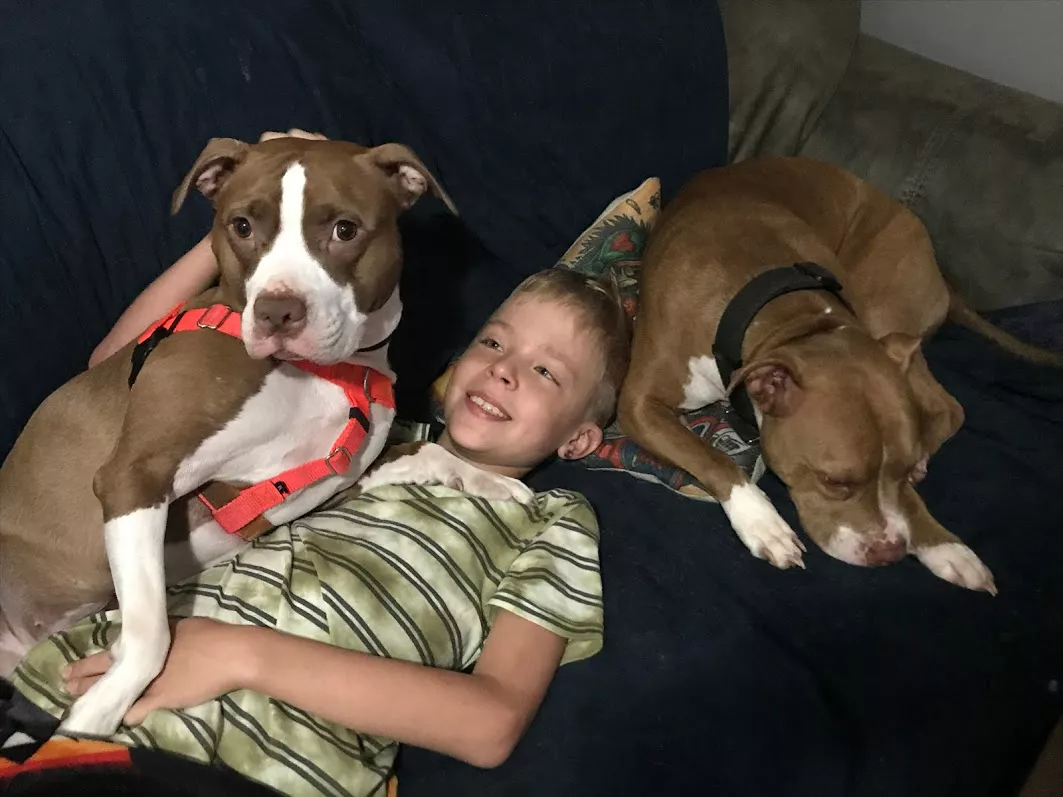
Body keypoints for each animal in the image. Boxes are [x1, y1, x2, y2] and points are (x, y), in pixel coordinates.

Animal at [0, 136, 527, 735]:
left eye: (344, 229)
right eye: (242, 226)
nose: (278, 312)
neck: (325, 373)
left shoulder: (343, 476)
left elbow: (429, 448)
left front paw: (491, 481)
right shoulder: (133, 474)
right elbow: (152, 631)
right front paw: (93, 717)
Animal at [620, 156, 1058, 595]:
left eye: (899, 472)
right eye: (835, 482)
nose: (891, 552)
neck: (789, 316)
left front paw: (943, 544)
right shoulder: (639, 404)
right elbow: (712, 457)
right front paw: (763, 523)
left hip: (886, 311)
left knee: (949, 406)